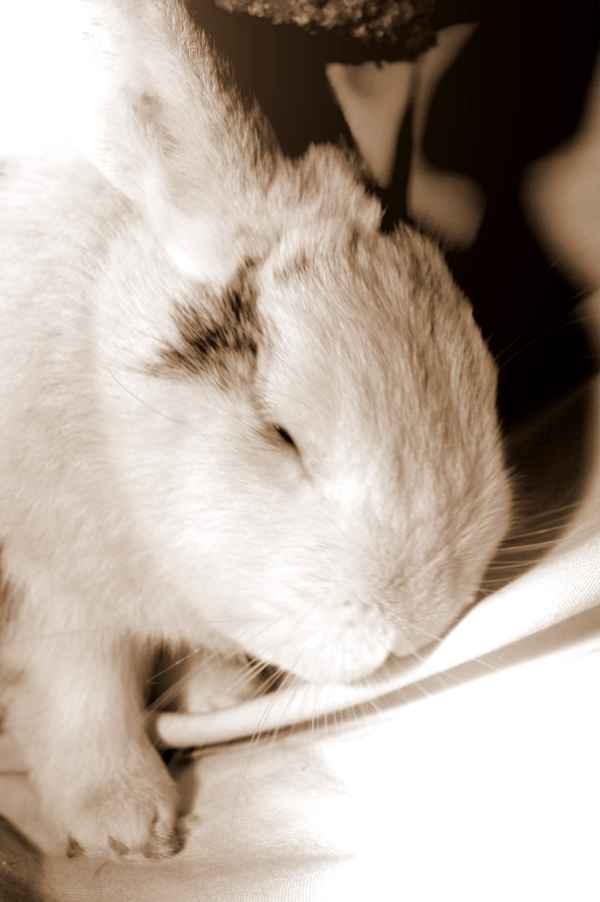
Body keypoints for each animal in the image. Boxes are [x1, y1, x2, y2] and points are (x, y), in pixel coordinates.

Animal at [0, 0, 511, 860]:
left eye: (486, 378)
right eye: (281, 432)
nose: (408, 624)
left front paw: (216, 695)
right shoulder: (54, 591)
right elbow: (81, 689)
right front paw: (130, 827)